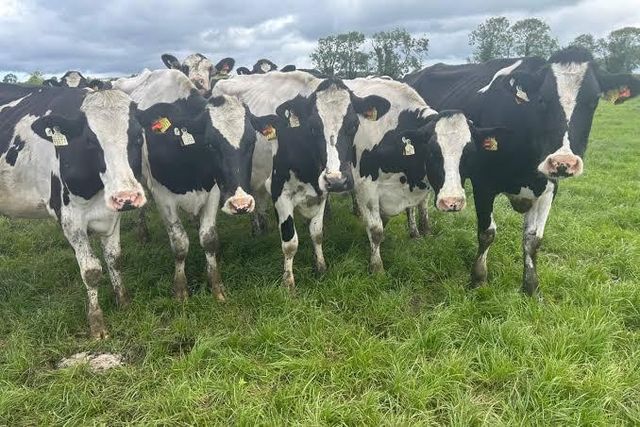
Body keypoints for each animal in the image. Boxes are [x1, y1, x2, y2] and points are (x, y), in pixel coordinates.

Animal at [0, 83, 147, 338]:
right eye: (90, 141)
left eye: (138, 136)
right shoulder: (70, 220)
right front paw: (97, 324)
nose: (127, 196)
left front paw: (123, 302)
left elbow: (115, 259)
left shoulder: (112, 215)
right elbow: (91, 271)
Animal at [113, 69, 260, 301]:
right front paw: (181, 289)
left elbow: (209, 239)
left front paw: (215, 285)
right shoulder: (163, 197)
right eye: (210, 144)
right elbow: (180, 244)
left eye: (252, 142)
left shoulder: (213, 191)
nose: (241, 204)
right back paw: (143, 233)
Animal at [212, 71, 390, 290]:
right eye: (313, 127)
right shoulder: (279, 192)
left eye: (354, 125)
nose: (337, 181)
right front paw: (288, 283)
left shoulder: (322, 192)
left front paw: (320, 267)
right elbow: (290, 242)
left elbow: (317, 233)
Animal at [345, 77, 503, 272]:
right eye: (432, 152)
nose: (452, 202)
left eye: (470, 153)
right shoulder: (366, 187)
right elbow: (376, 230)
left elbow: (414, 208)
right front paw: (376, 267)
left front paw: (419, 232)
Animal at [403, 46, 640, 297]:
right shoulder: (483, 184)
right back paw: (416, 232)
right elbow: (487, 233)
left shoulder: (549, 188)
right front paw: (478, 279)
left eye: (594, 101)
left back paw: (425, 229)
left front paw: (531, 287)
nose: (563, 161)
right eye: (542, 100)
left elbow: (533, 239)